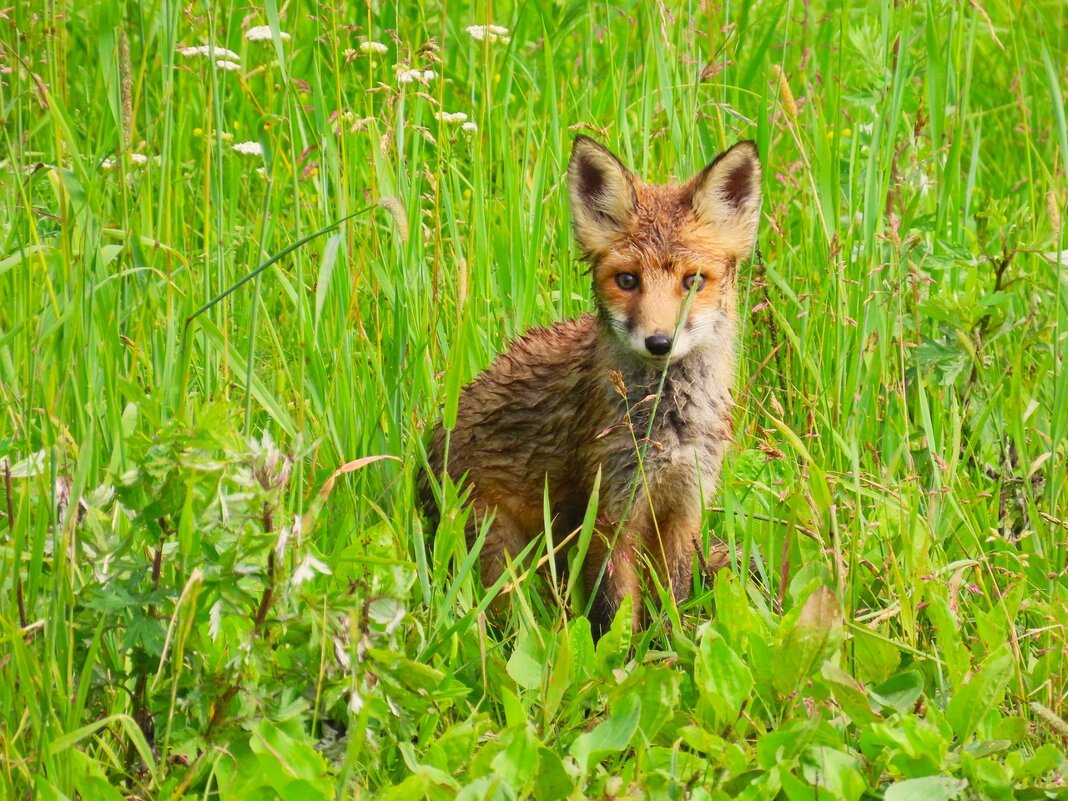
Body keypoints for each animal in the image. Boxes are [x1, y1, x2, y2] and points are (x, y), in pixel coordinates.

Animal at [416, 136, 760, 640]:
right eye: (627, 280)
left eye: (693, 281)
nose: (659, 342)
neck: (668, 428)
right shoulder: (611, 514)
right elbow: (615, 611)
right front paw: (625, 656)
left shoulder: (684, 507)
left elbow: (672, 599)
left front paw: (671, 646)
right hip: (499, 548)